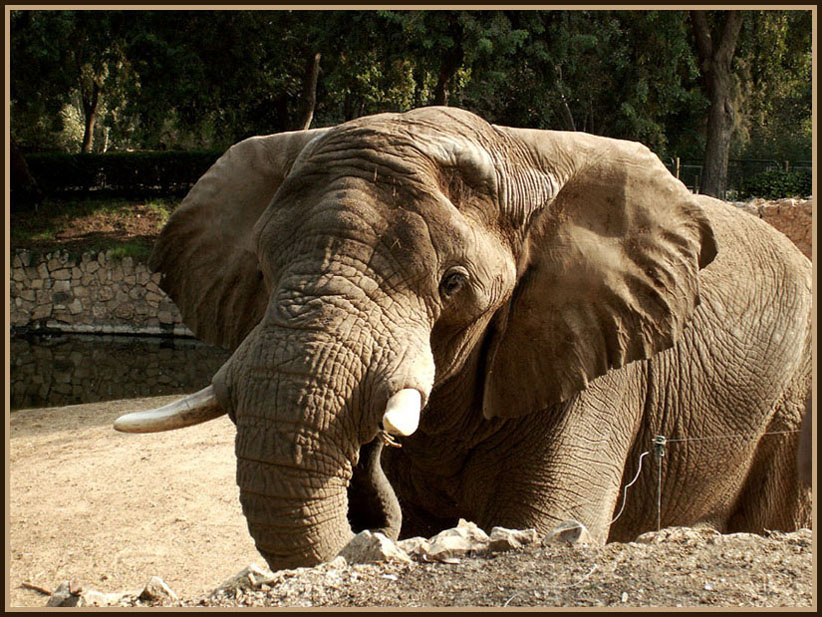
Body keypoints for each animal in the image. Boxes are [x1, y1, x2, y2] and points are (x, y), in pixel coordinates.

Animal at [114, 107, 812, 571]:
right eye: (261, 271)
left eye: (453, 284)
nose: (373, 455)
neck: (511, 150)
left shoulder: (594, 356)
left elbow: (547, 523)